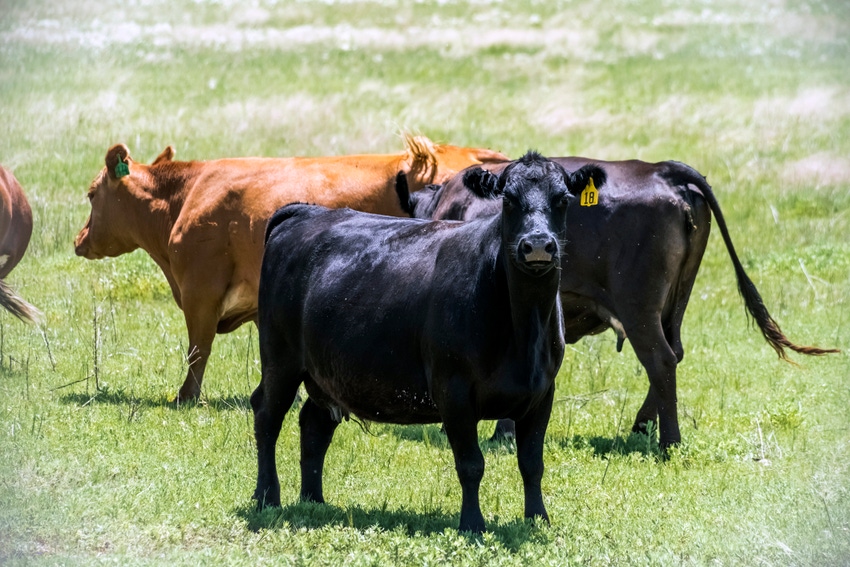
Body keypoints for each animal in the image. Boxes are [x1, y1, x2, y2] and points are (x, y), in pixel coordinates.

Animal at [74, 136, 504, 404]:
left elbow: (198, 348)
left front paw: (185, 397)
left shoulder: (200, 290)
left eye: (92, 194)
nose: (79, 239)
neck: (187, 196)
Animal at [248, 153, 608, 536]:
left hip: (327, 372)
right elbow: (471, 464)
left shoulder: (542, 392)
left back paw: (313, 500)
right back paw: (266, 497)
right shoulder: (453, 389)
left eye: (563, 200)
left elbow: (531, 463)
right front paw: (472, 524)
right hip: (280, 358)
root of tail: (305, 212)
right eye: (508, 200)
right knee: (267, 415)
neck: (524, 329)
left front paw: (538, 519)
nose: (538, 244)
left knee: (314, 423)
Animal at [396, 155, 836, 448]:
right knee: (674, 353)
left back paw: (669, 442)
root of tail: (662, 170)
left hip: (638, 306)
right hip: (674, 302)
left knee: (660, 359)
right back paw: (642, 427)